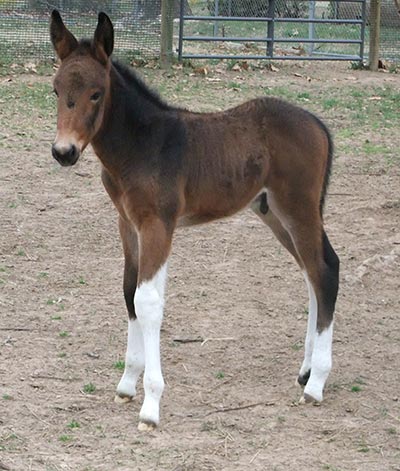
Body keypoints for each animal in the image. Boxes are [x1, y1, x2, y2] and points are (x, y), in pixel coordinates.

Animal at [48, 11, 340, 432]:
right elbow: (130, 291)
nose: (64, 152)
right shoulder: (129, 223)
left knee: (325, 270)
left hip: (298, 207)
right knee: (311, 273)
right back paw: (305, 370)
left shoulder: (158, 224)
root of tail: (317, 123)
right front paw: (127, 383)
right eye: (55, 90)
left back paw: (316, 383)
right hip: (273, 212)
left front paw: (151, 405)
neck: (142, 145)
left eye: (96, 93)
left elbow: (148, 300)